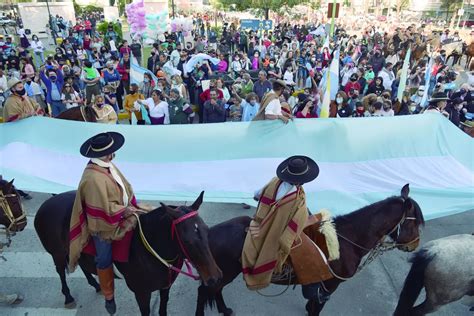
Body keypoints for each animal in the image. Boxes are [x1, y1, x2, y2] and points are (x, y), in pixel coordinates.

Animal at [34, 191, 223, 314]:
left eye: (206, 231)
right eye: (186, 240)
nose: (214, 277)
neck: (152, 250)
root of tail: (45, 206)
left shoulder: (165, 287)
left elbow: (162, 309)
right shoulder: (142, 293)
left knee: (82, 264)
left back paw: (96, 285)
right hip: (57, 253)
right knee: (61, 272)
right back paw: (68, 297)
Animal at [194, 184, 424, 316]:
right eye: (415, 223)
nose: (414, 245)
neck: (347, 240)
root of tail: (209, 233)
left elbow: (312, 305)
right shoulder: (329, 286)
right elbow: (316, 309)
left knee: (216, 290)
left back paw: (225, 310)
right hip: (226, 272)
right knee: (205, 292)